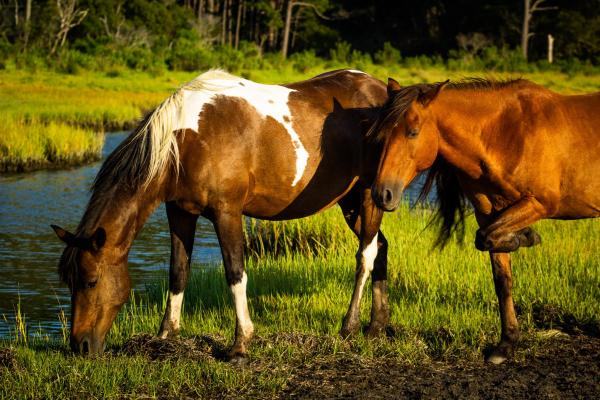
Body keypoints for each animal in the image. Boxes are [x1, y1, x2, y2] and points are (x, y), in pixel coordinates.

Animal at [51, 69, 390, 360]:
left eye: (91, 281)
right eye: (68, 281)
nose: (79, 346)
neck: (186, 140)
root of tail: (381, 91)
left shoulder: (227, 212)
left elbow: (235, 273)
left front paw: (240, 344)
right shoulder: (179, 212)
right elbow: (178, 271)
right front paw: (165, 336)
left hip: (369, 196)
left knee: (366, 254)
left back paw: (349, 326)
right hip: (350, 203)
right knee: (381, 247)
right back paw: (377, 327)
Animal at [370, 76, 600, 364]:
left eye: (412, 132)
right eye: (382, 135)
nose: (382, 194)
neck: (507, 134)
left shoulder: (541, 203)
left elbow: (487, 238)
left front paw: (527, 237)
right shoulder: (489, 213)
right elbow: (501, 277)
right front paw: (506, 344)